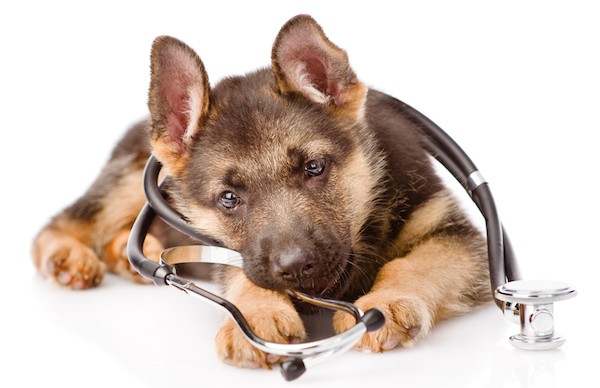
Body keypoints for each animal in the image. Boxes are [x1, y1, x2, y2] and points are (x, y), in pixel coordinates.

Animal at [31, 14, 488, 366]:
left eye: (314, 168)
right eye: (229, 199)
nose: (296, 267)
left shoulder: (457, 237)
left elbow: (414, 265)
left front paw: (387, 301)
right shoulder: (227, 248)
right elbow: (243, 273)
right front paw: (257, 314)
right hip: (128, 183)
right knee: (60, 225)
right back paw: (68, 256)